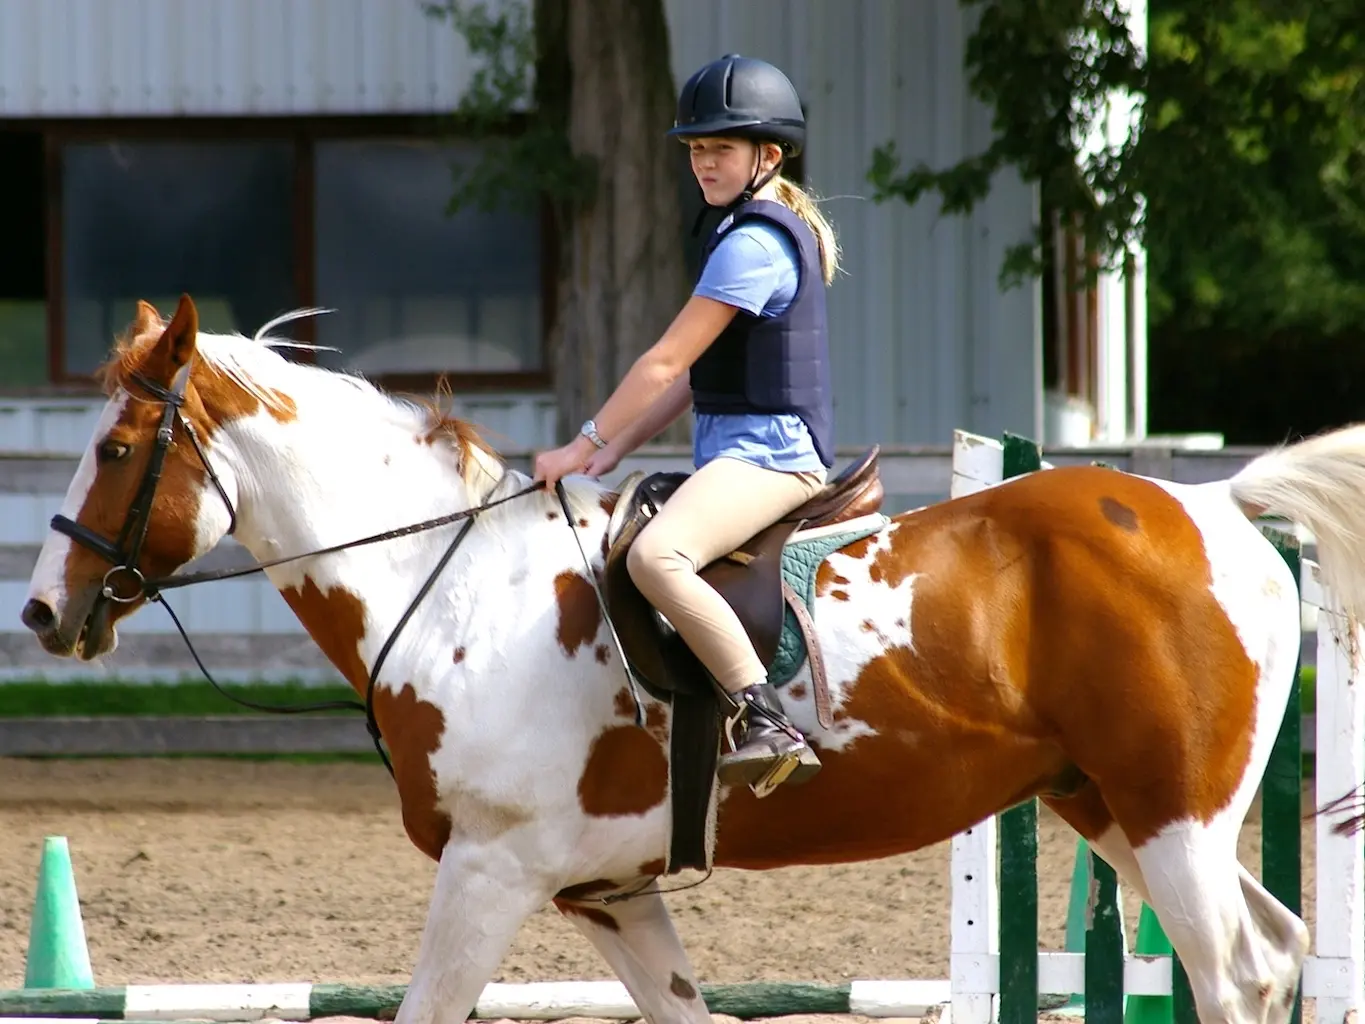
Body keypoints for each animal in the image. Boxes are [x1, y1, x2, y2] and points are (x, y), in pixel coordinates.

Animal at [18, 292, 1365, 1021]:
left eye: (123, 445)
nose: (40, 611)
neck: (451, 591)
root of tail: (1214, 501)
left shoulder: (490, 874)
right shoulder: (610, 893)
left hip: (1172, 819)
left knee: (1236, 971)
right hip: (1115, 814)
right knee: (1275, 954)